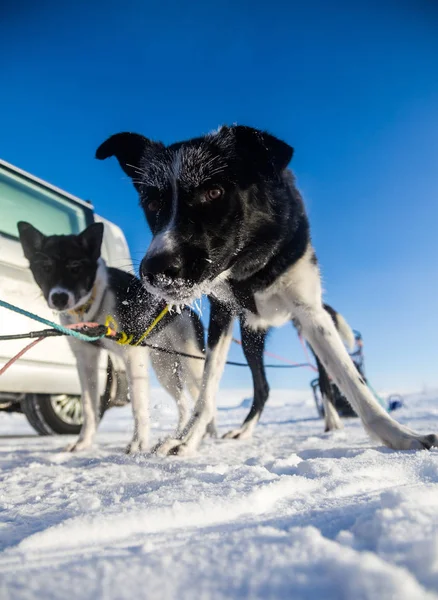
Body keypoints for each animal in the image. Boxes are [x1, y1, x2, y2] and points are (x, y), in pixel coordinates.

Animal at [18, 223, 206, 452]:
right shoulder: (86, 361)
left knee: (205, 402)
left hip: (192, 366)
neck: (94, 303)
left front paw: (138, 443)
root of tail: (187, 310)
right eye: (45, 267)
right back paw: (178, 437)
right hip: (164, 370)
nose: (59, 297)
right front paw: (83, 443)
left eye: (75, 267)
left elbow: (138, 404)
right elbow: (89, 407)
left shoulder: (133, 356)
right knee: (185, 405)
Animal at [96, 126, 438, 454]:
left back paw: (332, 422)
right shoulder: (222, 314)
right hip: (251, 338)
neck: (252, 268)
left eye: (214, 192)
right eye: (152, 203)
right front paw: (187, 439)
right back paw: (244, 430)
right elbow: (207, 388)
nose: (154, 269)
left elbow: (351, 378)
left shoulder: (310, 311)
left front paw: (398, 434)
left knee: (324, 381)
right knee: (262, 388)